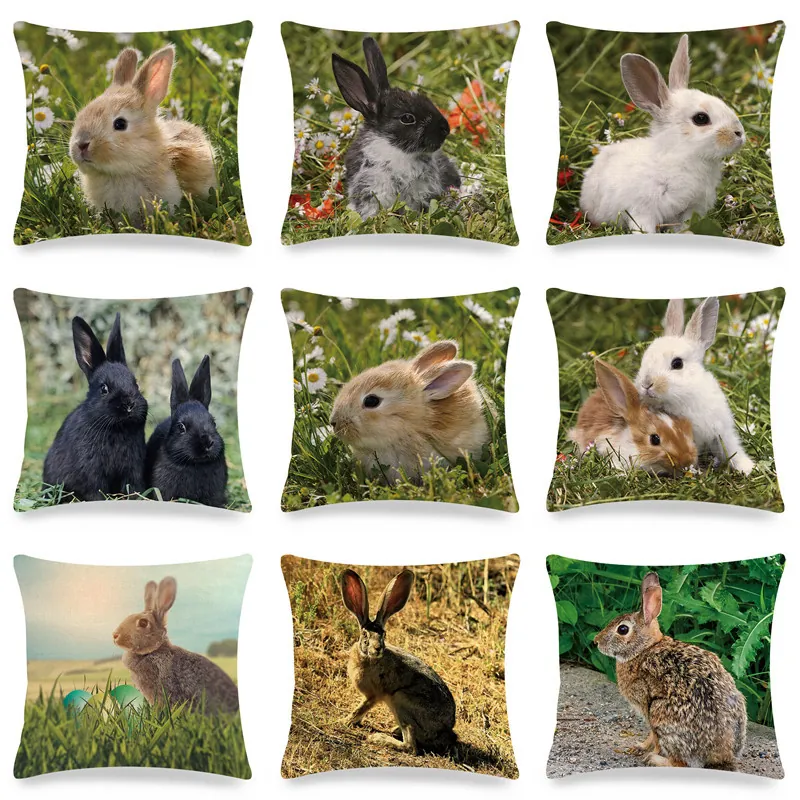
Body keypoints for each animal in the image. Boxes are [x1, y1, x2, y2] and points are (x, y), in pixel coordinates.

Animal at [42, 313, 148, 501]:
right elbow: (95, 490)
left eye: (136, 383)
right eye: (104, 388)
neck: (117, 429)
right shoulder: (91, 471)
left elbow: (133, 486)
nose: (129, 404)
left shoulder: (133, 468)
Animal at [340, 568, 456, 753]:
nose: (377, 648)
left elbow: (361, 707)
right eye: (365, 635)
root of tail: (445, 732)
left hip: (401, 700)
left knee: (410, 746)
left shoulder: (374, 695)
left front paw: (345, 721)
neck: (369, 658)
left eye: (383, 635)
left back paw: (379, 738)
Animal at [594, 572, 747, 770]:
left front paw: (646, 749)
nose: (596, 641)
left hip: (661, 713)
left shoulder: (646, 705)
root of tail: (720, 754)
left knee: (679, 763)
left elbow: (653, 737)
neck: (644, 649)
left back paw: (654, 759)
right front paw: (639, 746)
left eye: (623, 629)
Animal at [635, 297, 755, 474]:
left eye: (677, 363)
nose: (646, 384)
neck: (684, 398)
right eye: (644, 359)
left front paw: (748, 468)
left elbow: (732, 448)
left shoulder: (722, 429)